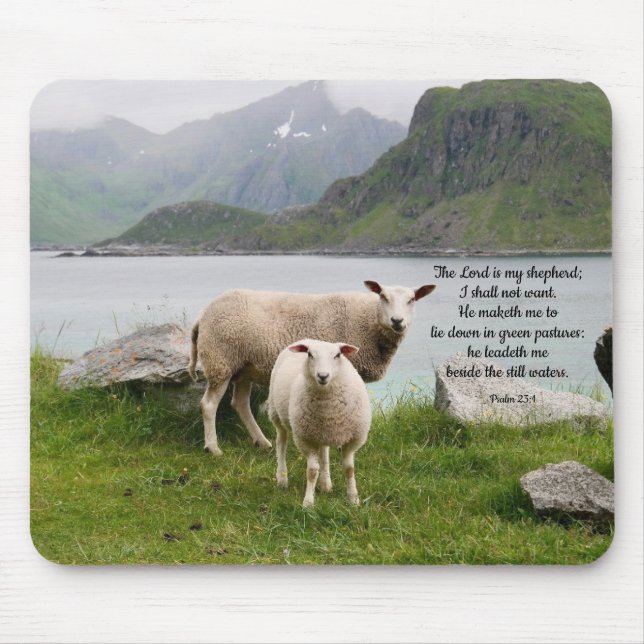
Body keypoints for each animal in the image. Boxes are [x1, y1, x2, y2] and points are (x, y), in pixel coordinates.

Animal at [188, 280, 435, 455]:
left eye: (412, 299)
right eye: (383, 296)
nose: (397, 321)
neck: (369, 321)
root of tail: (203, 314)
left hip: (243, 367)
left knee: (240, 404)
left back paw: (262, 442)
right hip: (221, 360)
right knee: (208, 405)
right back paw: (213, 448)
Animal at [268, 339, 371, 507]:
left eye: (337, 355)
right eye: (310, 354)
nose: (323, 376)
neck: (328, 407)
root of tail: (307, 339)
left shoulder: (352, 439)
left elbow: (349, 469)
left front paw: (353, 499)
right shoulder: (306, 439)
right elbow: (311, 471)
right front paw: (308, 502)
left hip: (321, 432)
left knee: (324, 451)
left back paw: (325, 484)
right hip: (276, 412)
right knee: (281, 442)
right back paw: (282, 478)